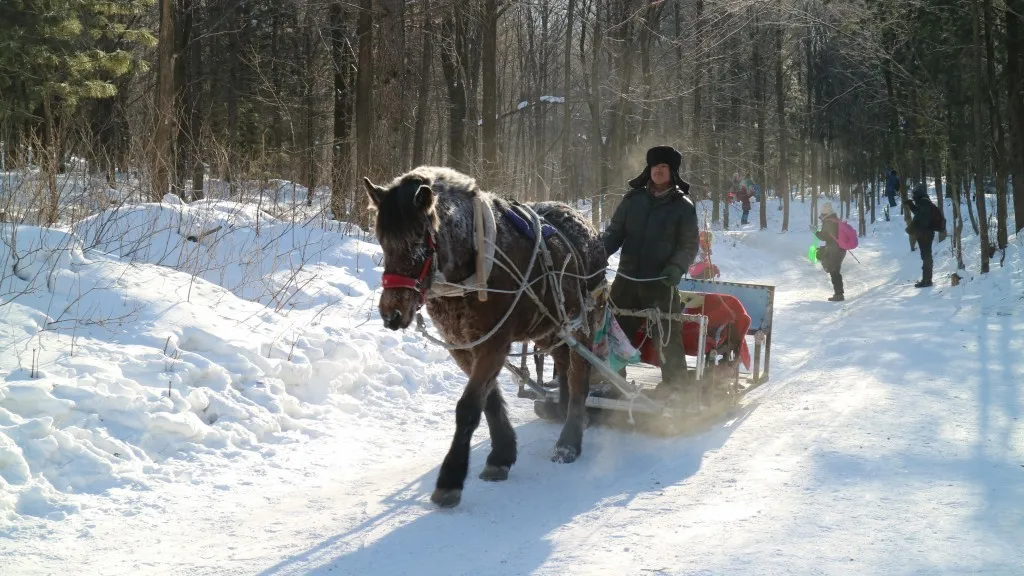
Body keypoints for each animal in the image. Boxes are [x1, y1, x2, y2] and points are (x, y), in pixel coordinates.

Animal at [366, 163, 606, 504]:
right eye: (382, 240)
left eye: (418, 242)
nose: (392, 314)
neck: (476, 261)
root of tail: (588, 226)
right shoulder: (461, 344)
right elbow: (488, 400)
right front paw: (502, 455)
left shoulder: (495, 342)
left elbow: (468, 406)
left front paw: (451, 478)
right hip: (550, 328)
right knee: (561, 363)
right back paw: (561, 410)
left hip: (584, 321)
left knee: (578, 375)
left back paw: (569, 441)